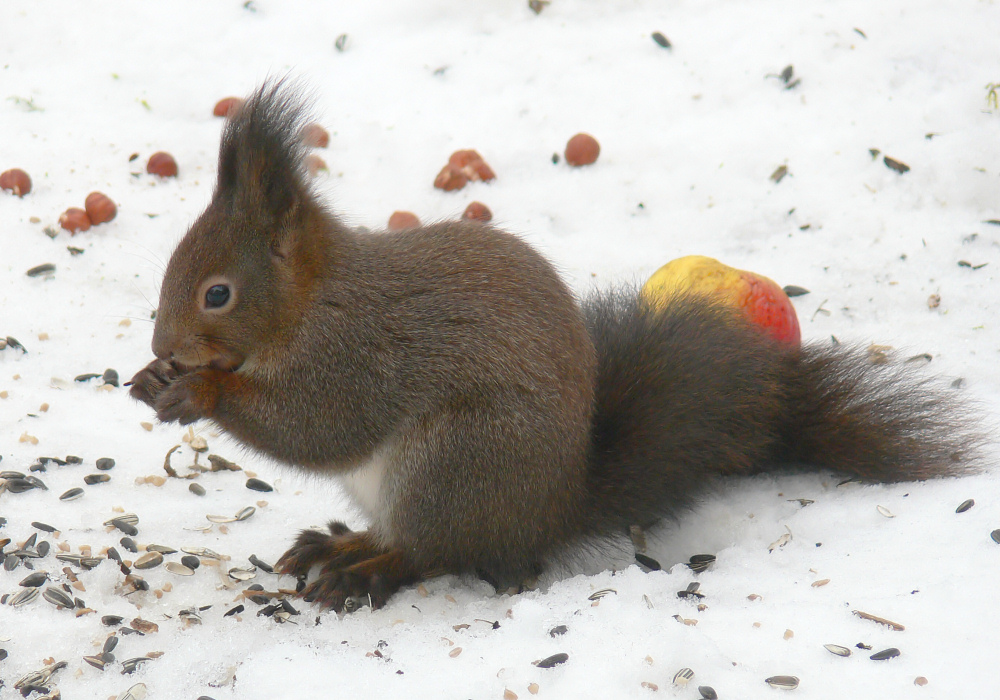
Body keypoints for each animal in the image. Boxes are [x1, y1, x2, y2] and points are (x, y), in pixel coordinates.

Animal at [131, 79, 984, 608]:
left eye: (216, 293)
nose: (164, 342)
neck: (312, 302)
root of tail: (552, 511)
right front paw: (150, 379)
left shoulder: (357, 356)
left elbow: (319, 426)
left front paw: (198, 390)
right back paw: (337, 544)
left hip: (459, 462)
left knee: (434, 550)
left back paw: (366, 567)